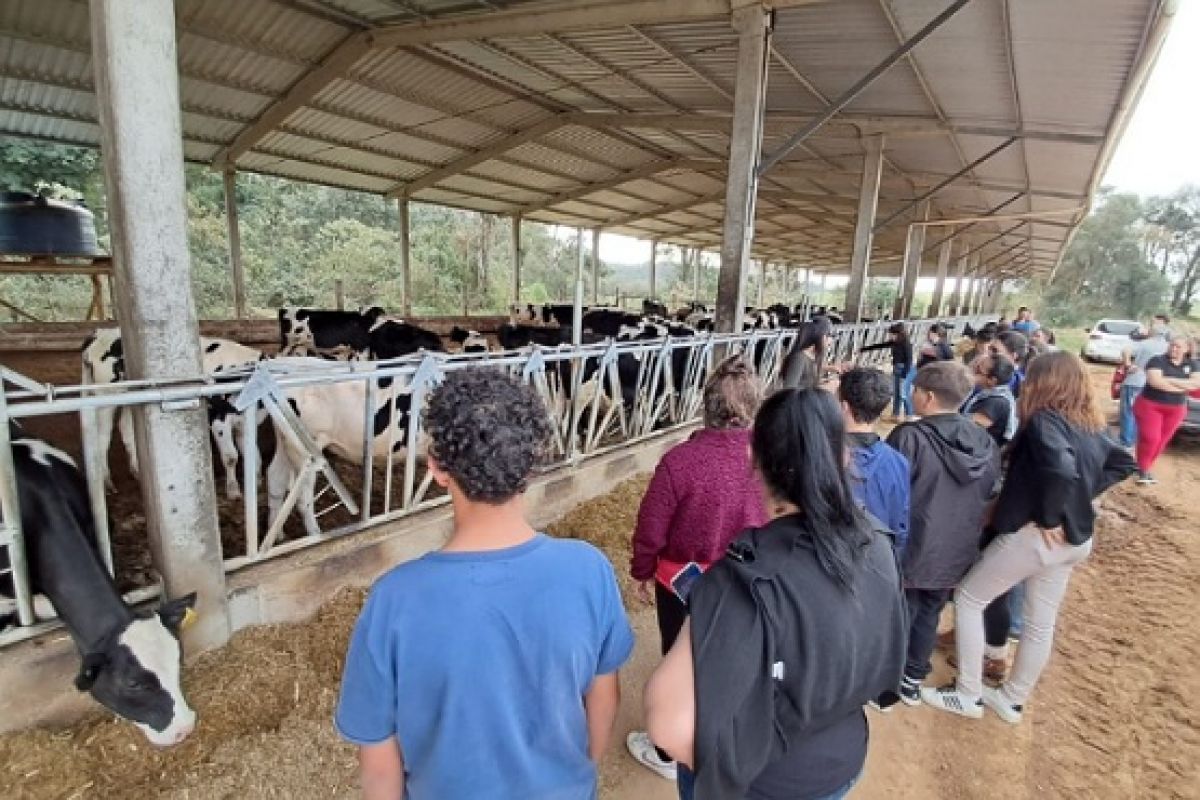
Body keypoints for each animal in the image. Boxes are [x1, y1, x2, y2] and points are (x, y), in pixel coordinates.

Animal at [82, 328, 265, 496]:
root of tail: (100, 332)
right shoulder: (219, 420)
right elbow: (231, 456)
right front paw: (233, 491)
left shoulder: (245, 423)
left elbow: (253, 455)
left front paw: (256, 483)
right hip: (106, 393)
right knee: (102, 436)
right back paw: (107, 482)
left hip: (131, 396)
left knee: (125, 427)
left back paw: (137, 471)